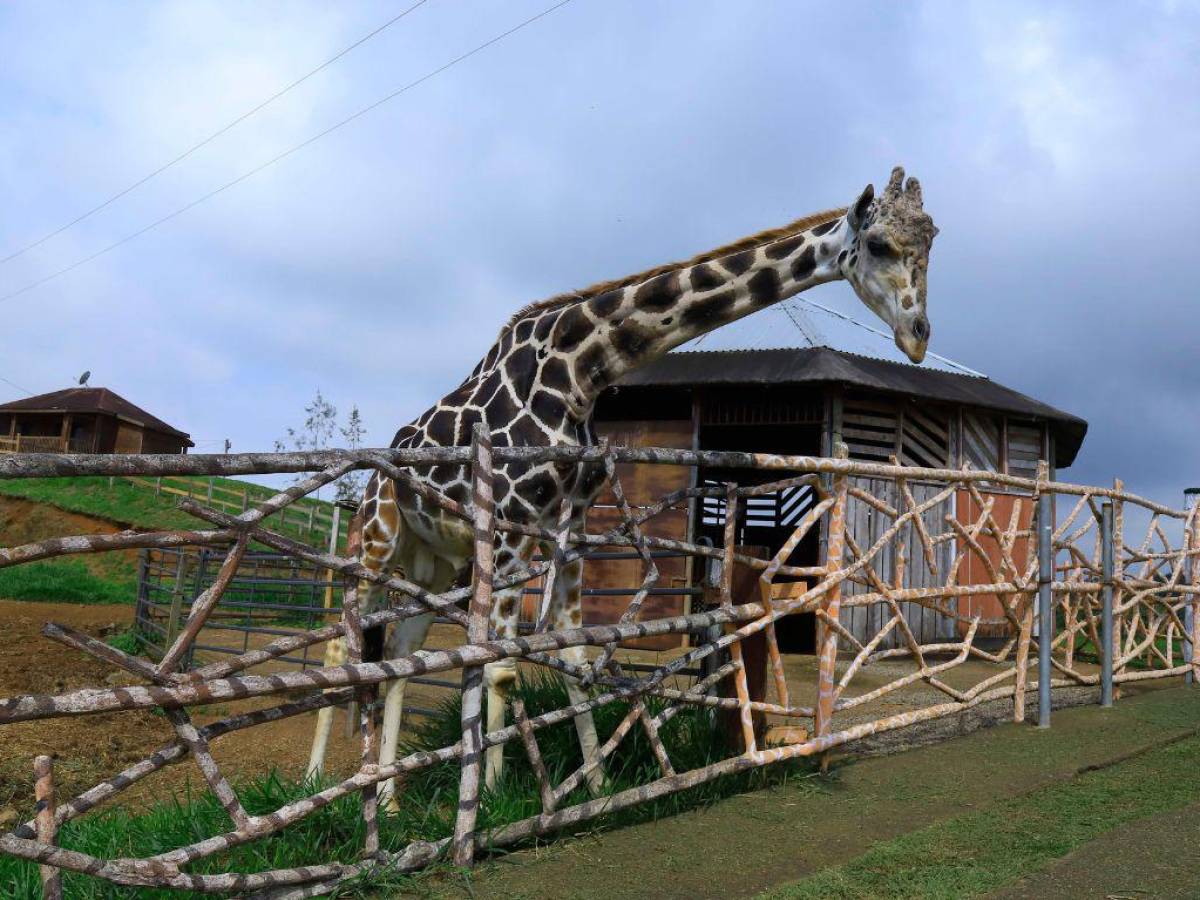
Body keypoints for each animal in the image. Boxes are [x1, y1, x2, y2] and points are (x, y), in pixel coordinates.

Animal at [302, 165, 936, 806]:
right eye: (878, 243)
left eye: (930, 242)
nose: (917, 336)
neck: (580, 372)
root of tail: (372, 482)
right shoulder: (510, 523)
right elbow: (497, 665)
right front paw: (491, 801)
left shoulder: (569, 525)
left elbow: (574, 654)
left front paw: (597, 786)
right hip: (375, 544)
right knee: (342, 649)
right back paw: (319, 783)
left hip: (433, 561)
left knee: (398, 652)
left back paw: (387, 800)